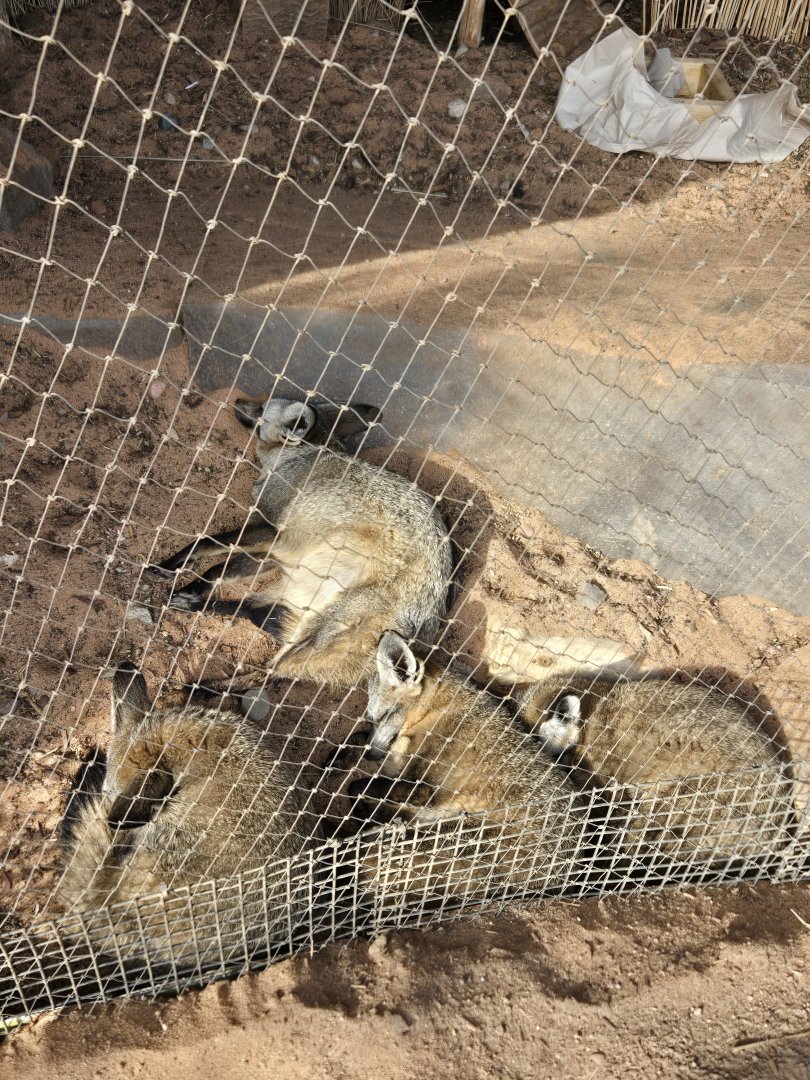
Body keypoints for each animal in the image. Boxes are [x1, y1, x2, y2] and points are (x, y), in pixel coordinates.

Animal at [151, 397, 453, 688]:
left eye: (261, 408)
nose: (237, 401)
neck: (300, 456)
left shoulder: (272, 532)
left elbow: (206, 541)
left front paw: (170, 565)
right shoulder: (276, 553)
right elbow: (219, 570)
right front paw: (191, 585)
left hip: (321, 627)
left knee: (273, 670)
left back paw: (207, 688)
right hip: (297, 602)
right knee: (253, 614)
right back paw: (193, 608)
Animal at [356, 632, 588, 909]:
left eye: (379, 717)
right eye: (370, 720)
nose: (368, 754)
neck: (440, 708)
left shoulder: (423, 788)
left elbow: (359, 786)